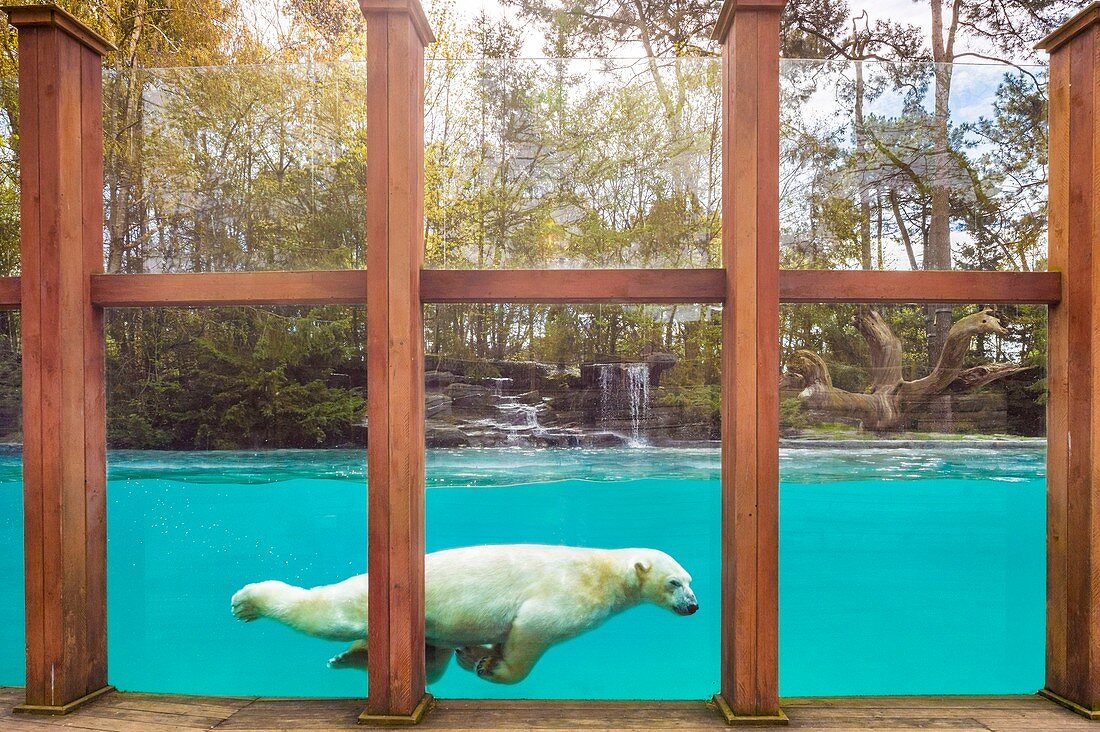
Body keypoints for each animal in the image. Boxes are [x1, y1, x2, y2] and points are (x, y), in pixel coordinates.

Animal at [229, 545, 695, 682]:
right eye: (675, 582)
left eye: (692, 579)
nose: (694, 606)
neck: (603, 570)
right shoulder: (565, 596)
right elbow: (533, 627)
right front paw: (491, 667)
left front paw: (475, 656)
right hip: (361, 601)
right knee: (326, 614)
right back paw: (247, 600)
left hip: (427, 626)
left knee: (431, 661)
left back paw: (350, 657)